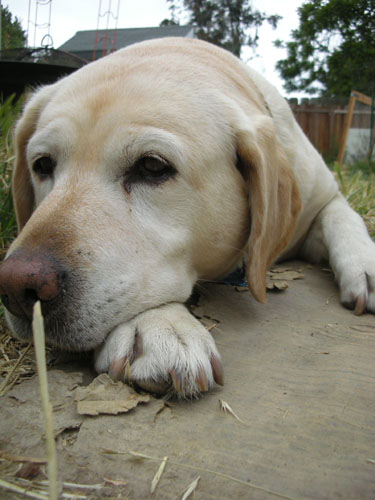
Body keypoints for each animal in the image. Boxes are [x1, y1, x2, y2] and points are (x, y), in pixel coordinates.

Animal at [0, 38, 375, 398]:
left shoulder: (326, 197)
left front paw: (366, 264)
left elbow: (344, 218)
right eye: (42, 164)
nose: (16, 287)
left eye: (152, 166)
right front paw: (158, 326)